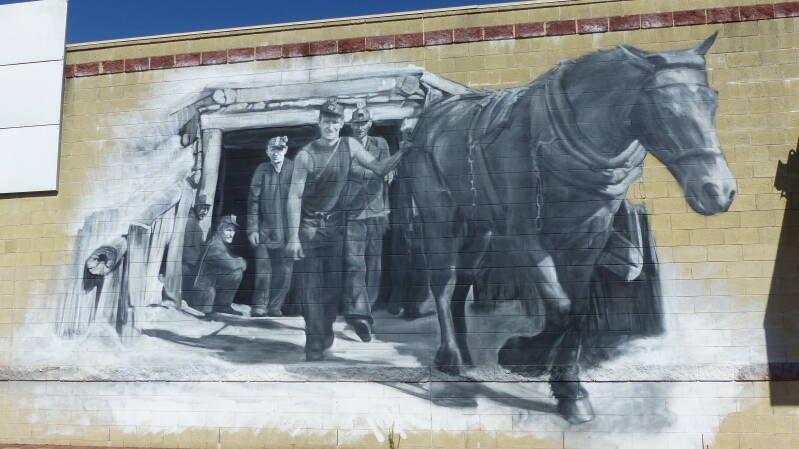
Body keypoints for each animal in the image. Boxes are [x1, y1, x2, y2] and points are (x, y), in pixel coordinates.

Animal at [403, 33, 736, 423]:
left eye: (713, 102)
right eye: (666, 109)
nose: (718, 191)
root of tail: (432, 118)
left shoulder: (589, 238)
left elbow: (576, 310)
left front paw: (569, 390)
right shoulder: (525, 236)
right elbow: (560, 306)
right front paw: (523, 355)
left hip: (479, 225)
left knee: (464, 280)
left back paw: (467, 354)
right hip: (439, 215)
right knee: (443, 280)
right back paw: (449, 359)